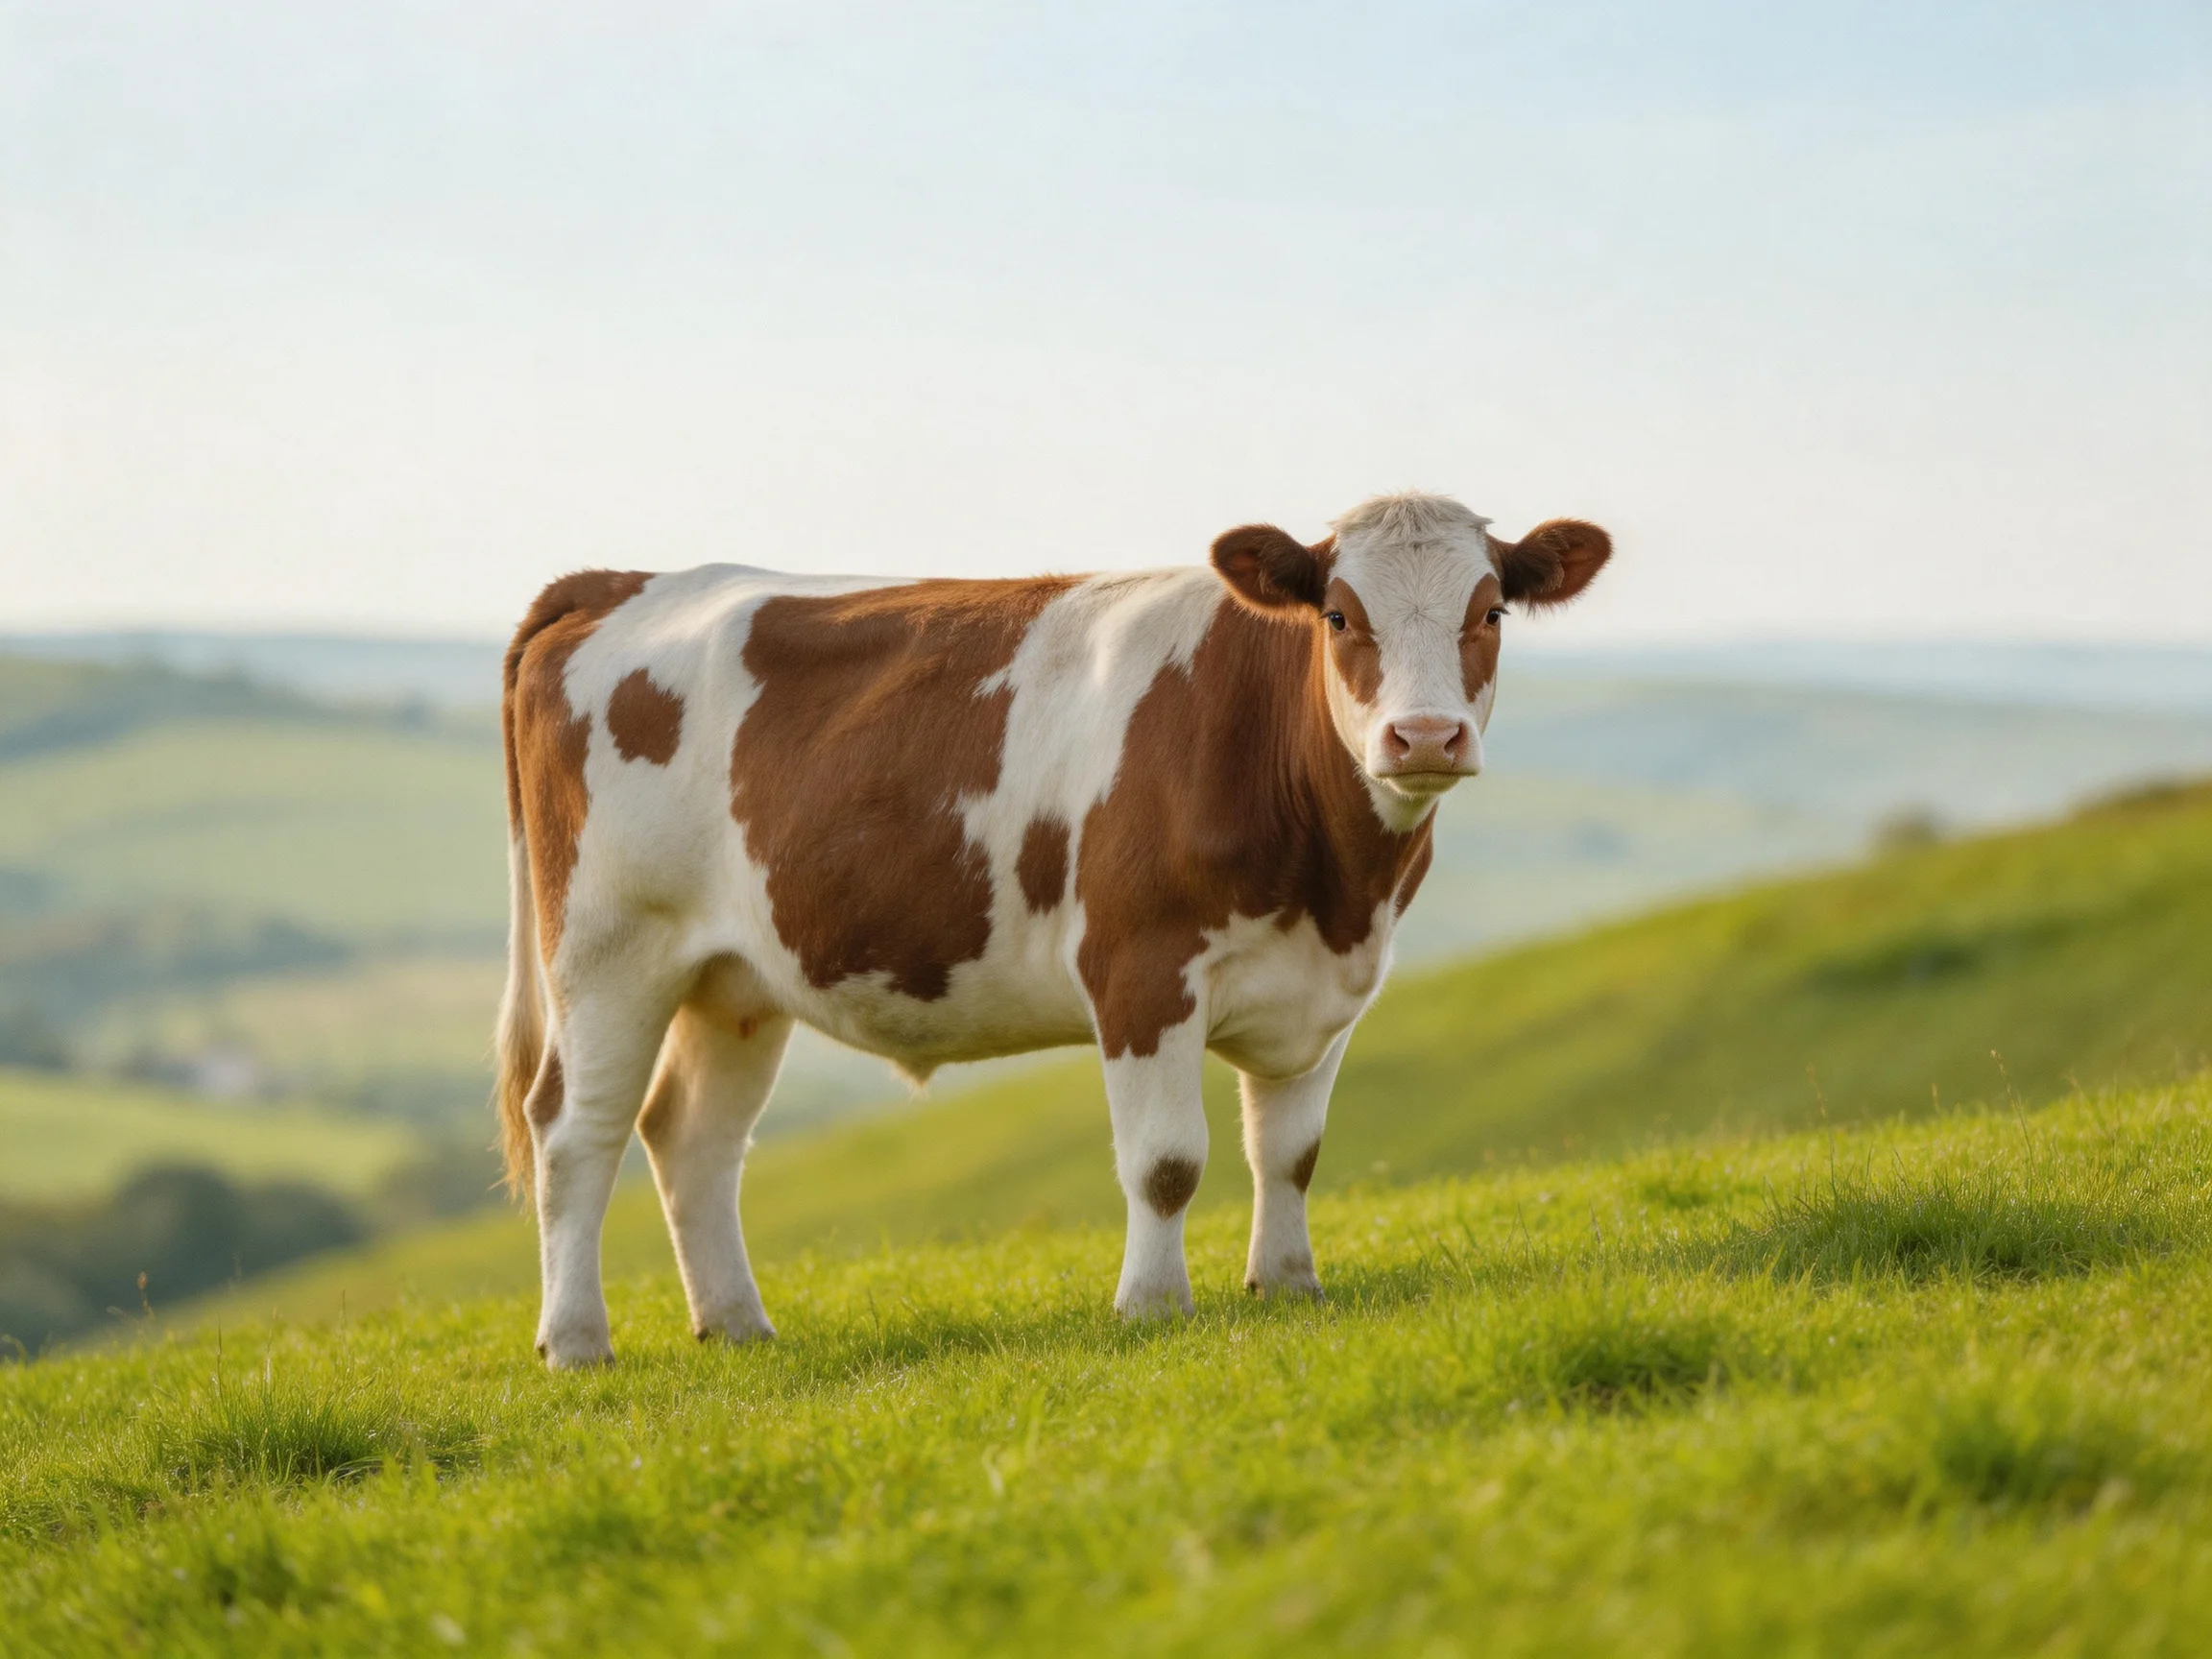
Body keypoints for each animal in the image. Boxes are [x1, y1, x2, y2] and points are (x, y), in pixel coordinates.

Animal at [495, 491, 1610, 1367]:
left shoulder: (1328, 988)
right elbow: (1166, 1160)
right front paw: (1153, 1307)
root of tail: (617, 581)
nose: (1423, 736)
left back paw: (735, 1326)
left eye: (1491, 610)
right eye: (1338, 614)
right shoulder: (1140, 967)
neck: (1333, 883)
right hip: (607, 951)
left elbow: (1290, 1154)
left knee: (693, 1136)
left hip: (734, 978)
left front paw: (1290, 1285)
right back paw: (576, 1342)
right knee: (574, 1130)